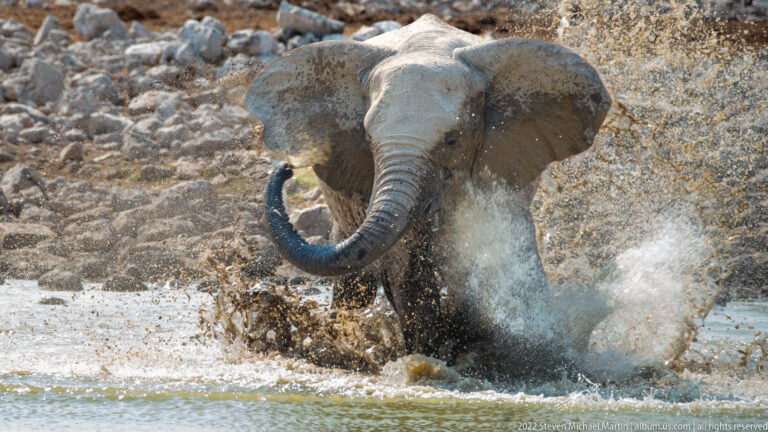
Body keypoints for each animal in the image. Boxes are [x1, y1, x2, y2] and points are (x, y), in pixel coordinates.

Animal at [247, 14, 611, 368]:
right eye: (368, 139)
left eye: (452, 140)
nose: (286, 168)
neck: (428, 48)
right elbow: (405, 264)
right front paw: (430, 354)